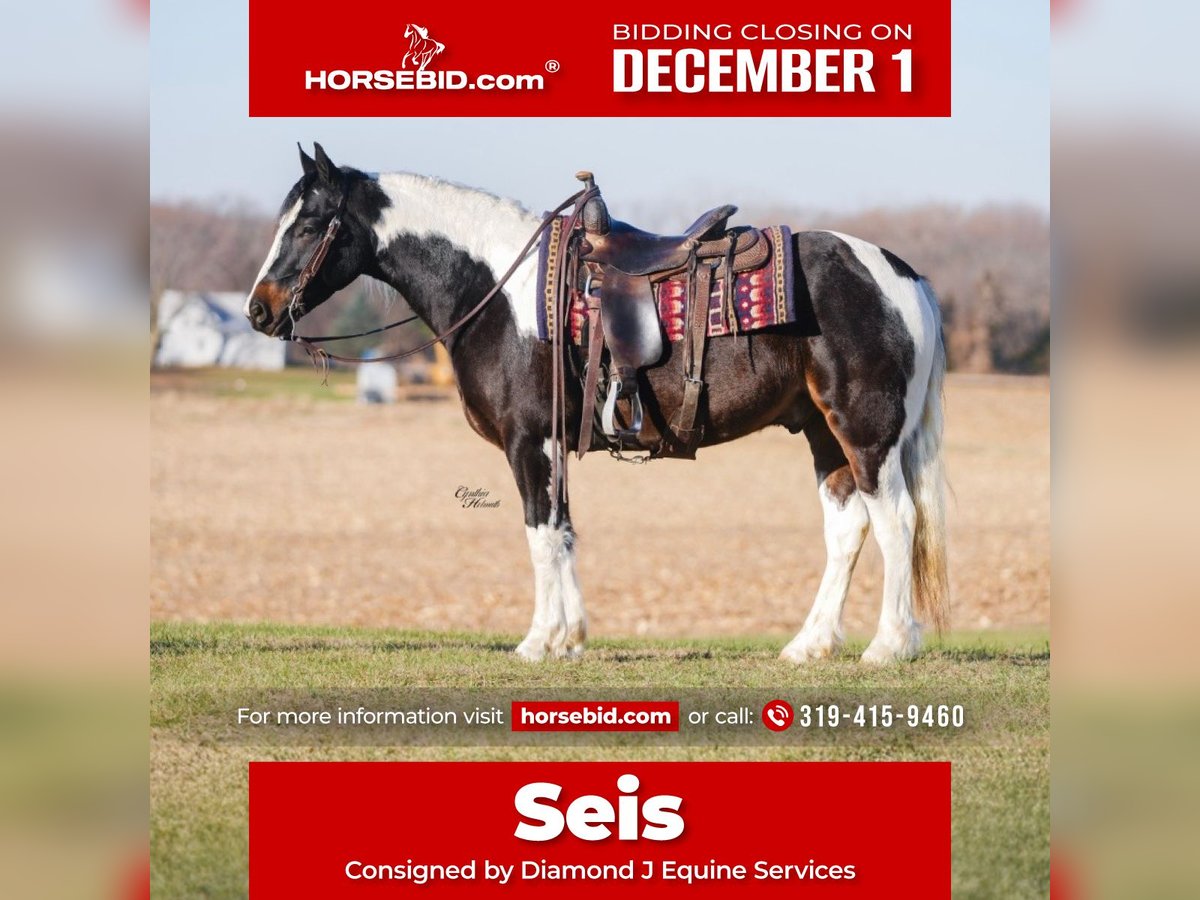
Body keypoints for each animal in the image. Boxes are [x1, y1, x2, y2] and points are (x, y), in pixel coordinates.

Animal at [245, 143, 950, 665]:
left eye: (308, 224)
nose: (259, 310)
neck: (497, 289)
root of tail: (903, 274)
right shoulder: (551, 443)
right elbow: (563, 532)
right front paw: (569, 637)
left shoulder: (529, 441)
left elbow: (539, 533)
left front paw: (540, 641)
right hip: (825, 436)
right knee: (848, 529)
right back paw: (809, 645)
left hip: (867, 434)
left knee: (897, 522)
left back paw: (888, 646)